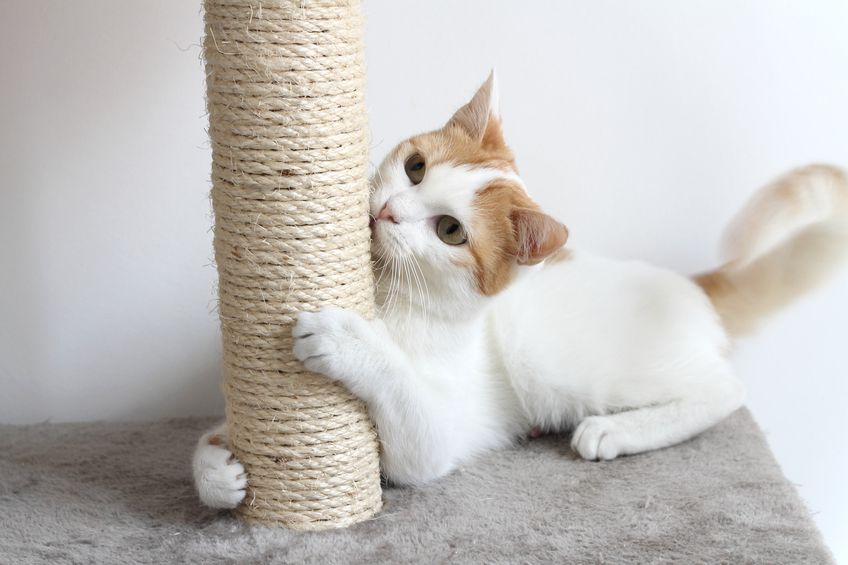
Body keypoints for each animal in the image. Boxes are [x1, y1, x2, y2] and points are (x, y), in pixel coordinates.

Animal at [194, 70, 848, 506]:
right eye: (415, 168)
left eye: (450, 231)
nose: (385, 212)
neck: (390, 294)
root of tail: (689, 284)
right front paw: (217, 470)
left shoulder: (433, 442)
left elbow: (402, 395)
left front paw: (347, 341)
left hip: (572, 367)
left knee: (725, 390)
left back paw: (614, 431)